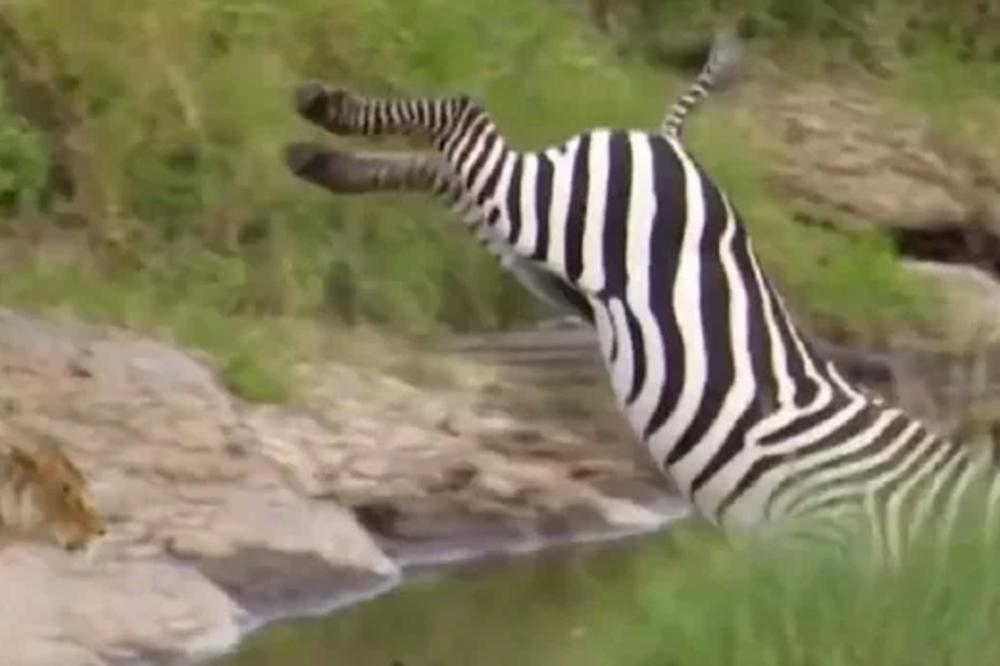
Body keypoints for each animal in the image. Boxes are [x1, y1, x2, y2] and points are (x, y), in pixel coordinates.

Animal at [281, 44, 1000, 562]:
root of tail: (673, 143)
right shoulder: (829, 540)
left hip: (536, 245)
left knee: (448, 169)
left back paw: (319, 159)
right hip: (549, 206)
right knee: (465, 121)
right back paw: (324, 108)